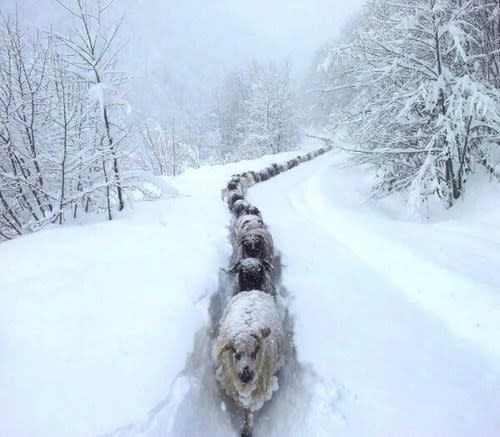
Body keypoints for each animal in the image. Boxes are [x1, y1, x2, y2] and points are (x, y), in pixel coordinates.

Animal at [216, 290, 286, 436]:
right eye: (235, 352)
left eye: (256, 351)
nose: (246, 375)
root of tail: (253, 291)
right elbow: (245, 408)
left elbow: (249, 410)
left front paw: (247, 429)